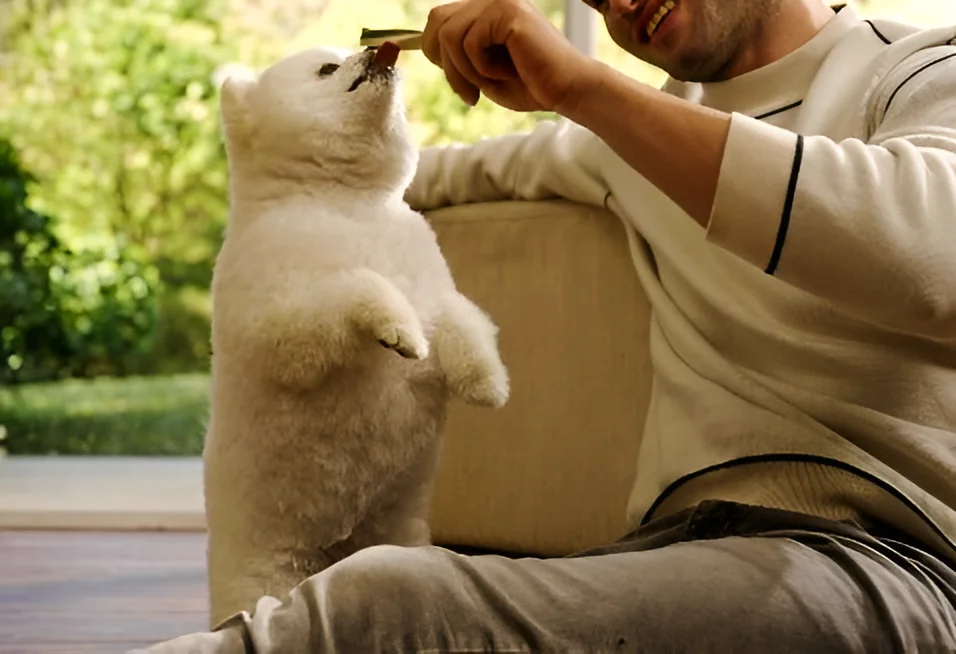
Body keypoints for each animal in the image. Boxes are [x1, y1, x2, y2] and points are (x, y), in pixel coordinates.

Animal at [206, 46, 512, 632]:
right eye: (326, 69)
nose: (380, 50)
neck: (349, 204)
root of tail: (331, 554)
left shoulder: (438, 293)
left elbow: (463, 325)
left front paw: (487, 381)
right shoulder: (285, 322)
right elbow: (361, 286)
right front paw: (397, 329)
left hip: (401, 541)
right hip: (260, 575)